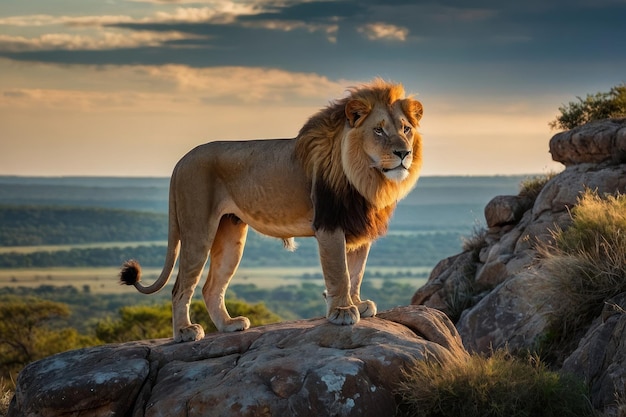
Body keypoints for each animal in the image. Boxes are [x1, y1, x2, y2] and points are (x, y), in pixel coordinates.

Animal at [119, 79, 422, 342]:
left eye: (406, 129)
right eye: (379, 130)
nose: (403, 153)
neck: (368, 177)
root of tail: (181, 161)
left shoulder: (358, 227)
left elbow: (357, 272)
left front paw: (357, 304)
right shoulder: (330, 223)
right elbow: (341, 273)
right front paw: (343, 312)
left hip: (230, 235)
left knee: (211, 287)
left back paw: (228, 325)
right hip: (197, 230)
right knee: (180, 287)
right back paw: (184, 331)